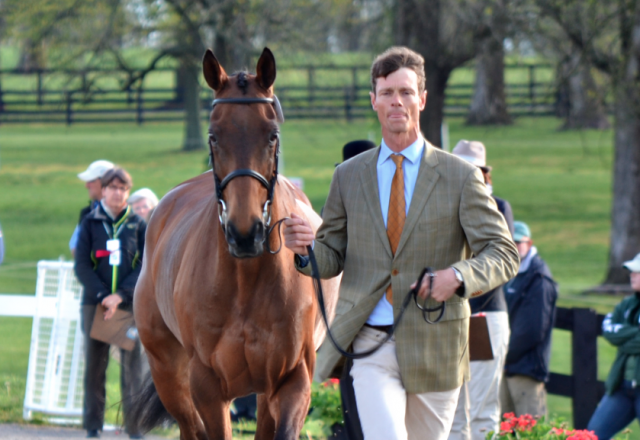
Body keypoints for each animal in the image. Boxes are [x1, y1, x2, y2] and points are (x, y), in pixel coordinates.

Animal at [131, 46, 340, 438]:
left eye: (272, 134)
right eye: (214, 135)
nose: (246, 233)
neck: (246, 282)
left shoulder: (291, 380)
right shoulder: (207, 385)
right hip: (168, 372)